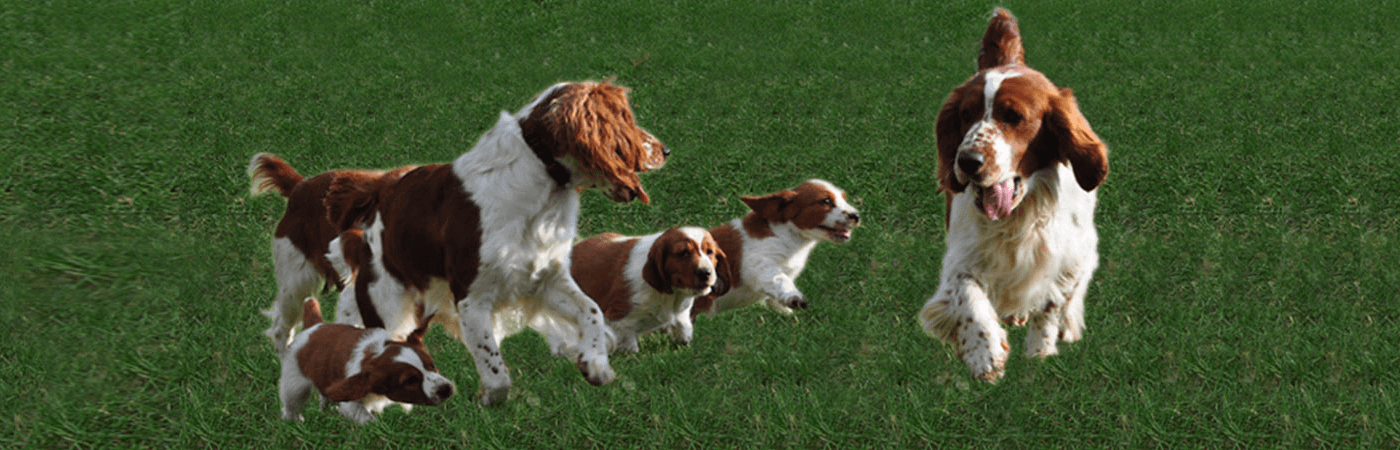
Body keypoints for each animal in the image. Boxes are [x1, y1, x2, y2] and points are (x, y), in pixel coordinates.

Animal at [320, 79, 666, 403]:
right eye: (626, 119)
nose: (665, 150)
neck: (540, 179)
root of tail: (382, 188)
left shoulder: (546, 278)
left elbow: (592, 310)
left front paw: (595, 365)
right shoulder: (473, 297)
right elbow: (495, 368)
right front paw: (489, 398)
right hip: (386, 306)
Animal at [691, 178, 856, 315]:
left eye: (844, 198)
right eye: (826, 201)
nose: (856, 216)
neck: (789, 235)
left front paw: (786, 312)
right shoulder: (758, 263)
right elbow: (779, 278)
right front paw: (794, 298)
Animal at [912, 8, 1108, 381]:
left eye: (1014, 116)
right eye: (965, 115)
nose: (967, 161)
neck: (1020, 217)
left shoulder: (1071, 255)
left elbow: (1053, 301)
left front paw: (1039, 350)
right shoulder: (961, 256)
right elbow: (968, 296)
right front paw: (984, 354)